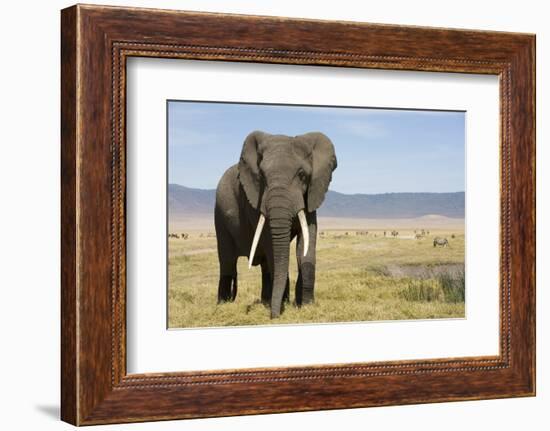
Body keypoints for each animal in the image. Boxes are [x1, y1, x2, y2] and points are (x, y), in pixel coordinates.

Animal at [215, 131, 336, 318]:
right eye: (262, 177)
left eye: (302, 175)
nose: (274, 316)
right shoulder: (255, 200)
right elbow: (271, 245)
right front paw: (283, 305)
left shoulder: (311, 195)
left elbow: (306, 244)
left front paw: (306, 306)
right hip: (220, 216)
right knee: (227, 261)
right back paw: (223, 304)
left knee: (264, 264)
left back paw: (266, 300)